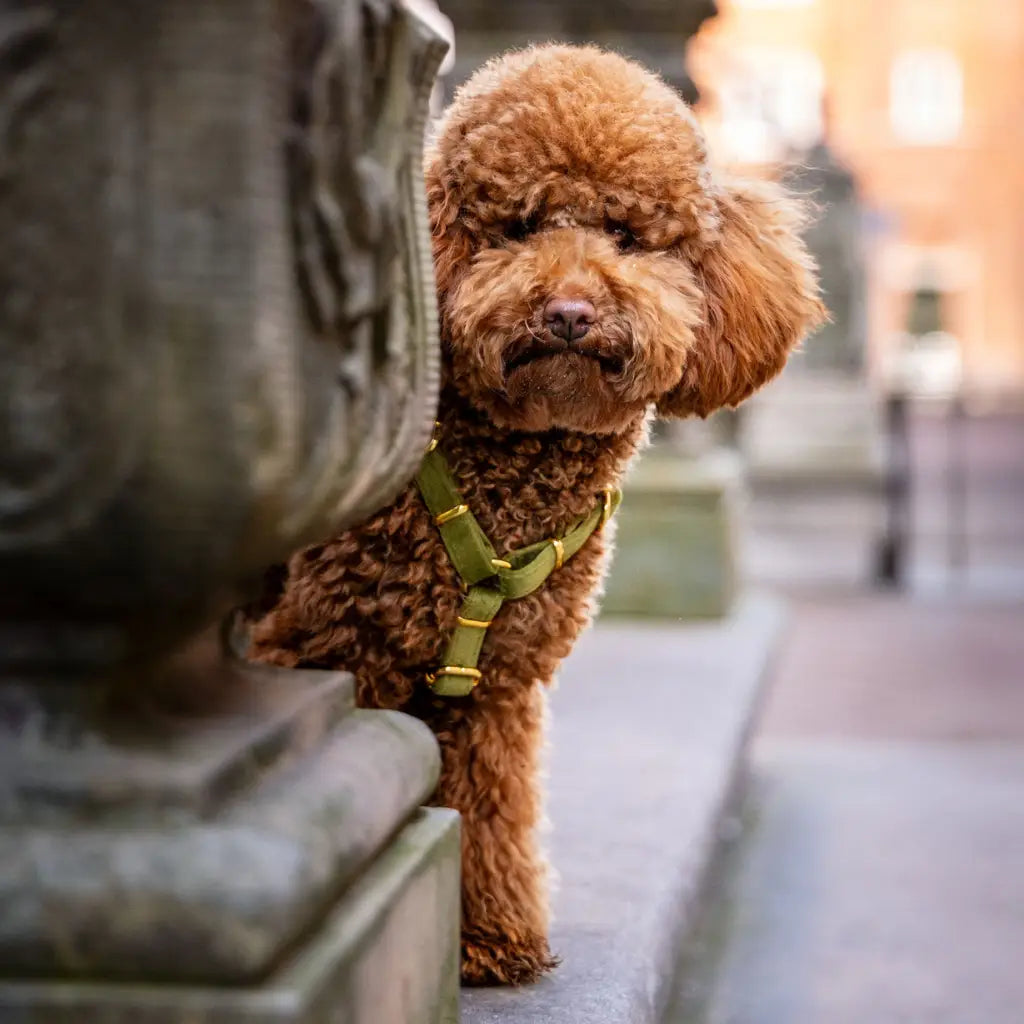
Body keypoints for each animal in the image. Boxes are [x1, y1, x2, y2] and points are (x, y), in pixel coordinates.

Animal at [247, 44, 823, 987]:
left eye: (624, 235)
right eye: (516, 228)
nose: (570, 313)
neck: (502, 484)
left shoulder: (498, 689)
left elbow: (491, 808)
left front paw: (486, 936)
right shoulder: (325, 646)